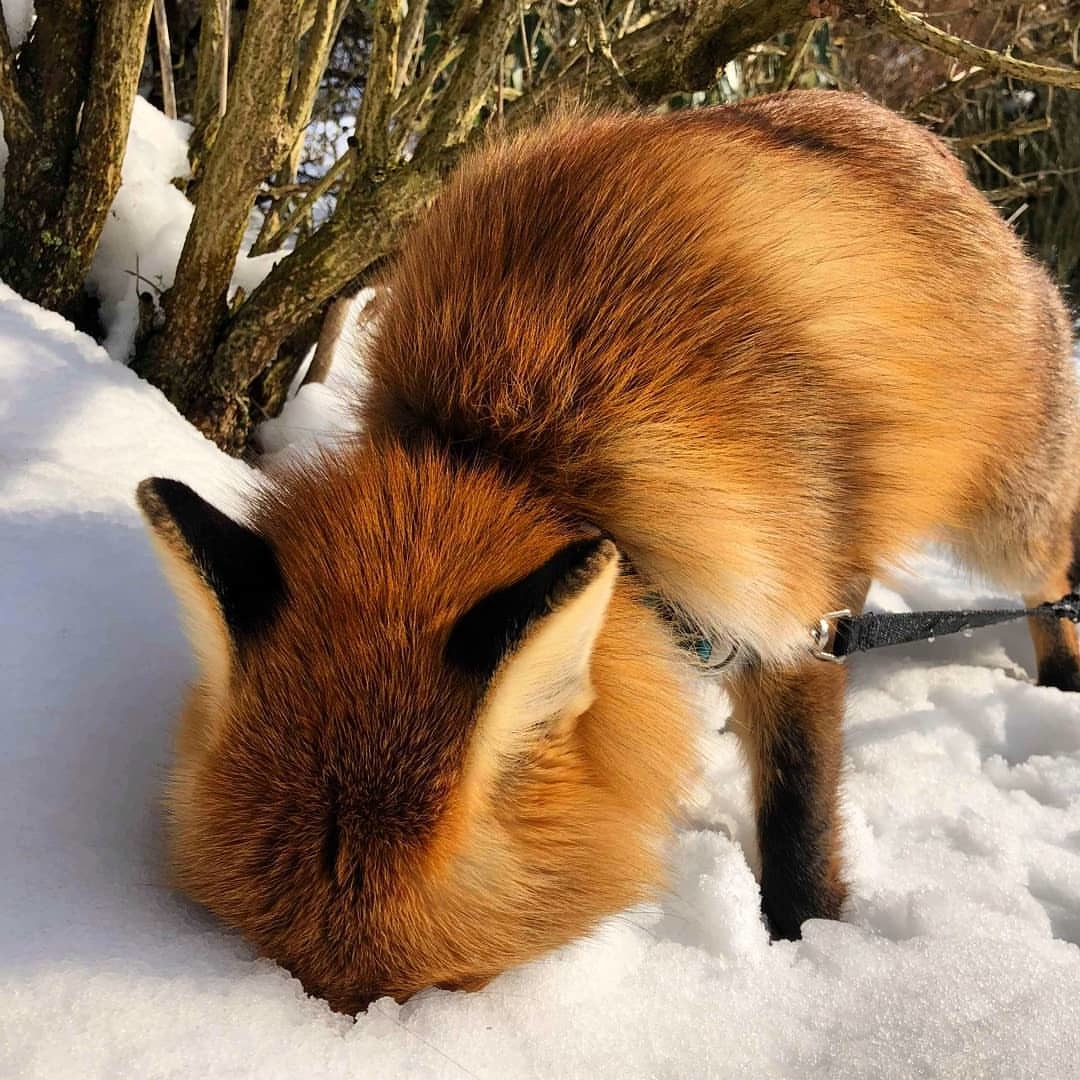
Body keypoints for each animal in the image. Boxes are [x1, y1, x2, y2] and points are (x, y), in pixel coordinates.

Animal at [137, 90, 1080, 1010]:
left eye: (433, 994)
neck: (516, 450)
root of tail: (915, 138)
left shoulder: (794, 601)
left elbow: (799, 816)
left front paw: (810, 946)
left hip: (1004, 517)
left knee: (1055, 568)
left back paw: (1063, 678)